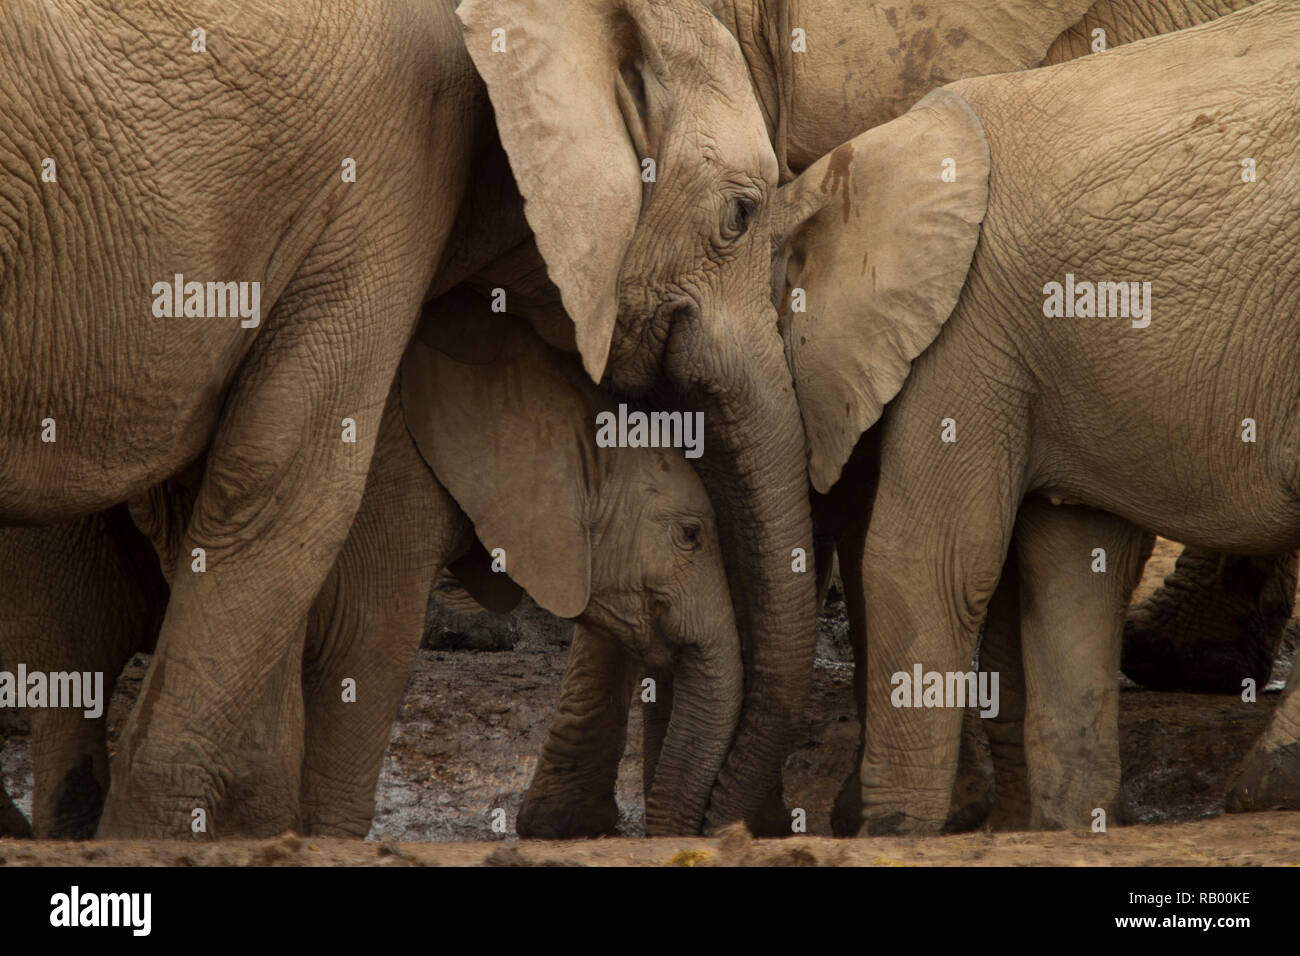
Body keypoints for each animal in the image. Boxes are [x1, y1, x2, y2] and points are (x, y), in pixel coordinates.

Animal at [759, 0, 1300, 832]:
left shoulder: (970, 329)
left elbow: (925, 560)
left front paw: (890, 832)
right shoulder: (1042, 351)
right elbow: (1072, 562)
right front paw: (1073, 826)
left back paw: (1263, 786)